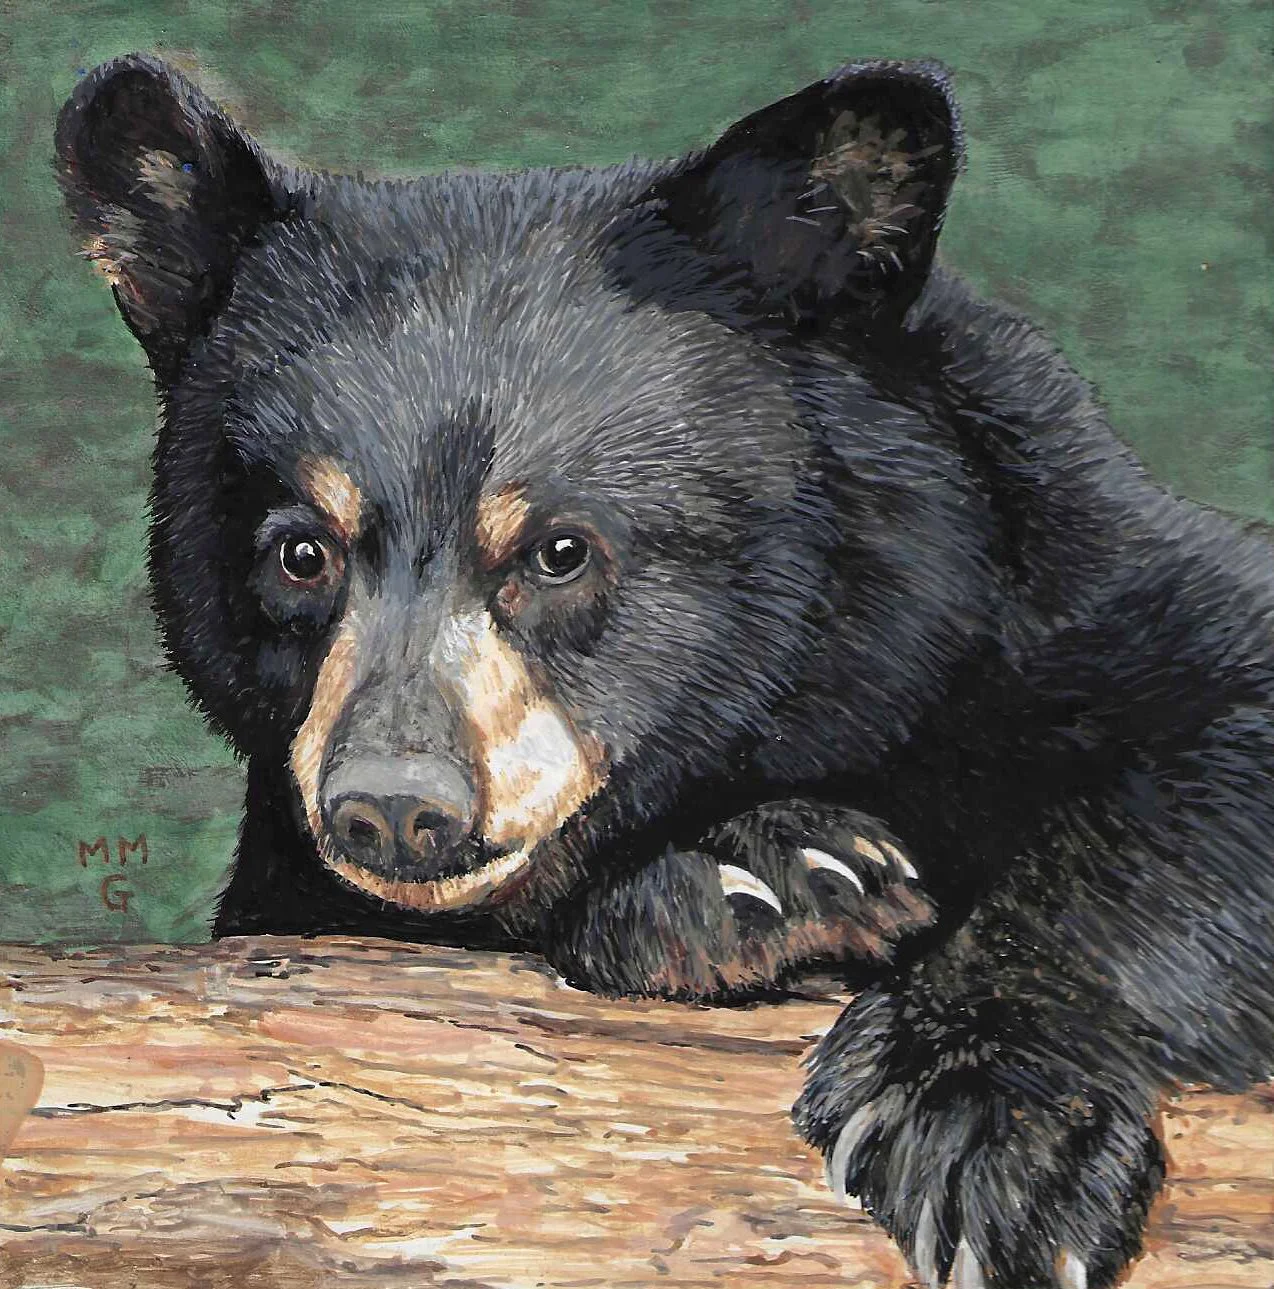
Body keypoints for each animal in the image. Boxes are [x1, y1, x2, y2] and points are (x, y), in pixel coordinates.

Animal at [55, 53, 1274, 1289]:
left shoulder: (1074, 577)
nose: (394, 806)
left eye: (559, 549)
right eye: (301, 551)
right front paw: (760, 879)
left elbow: (1196, 762)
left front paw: (975, 1111)